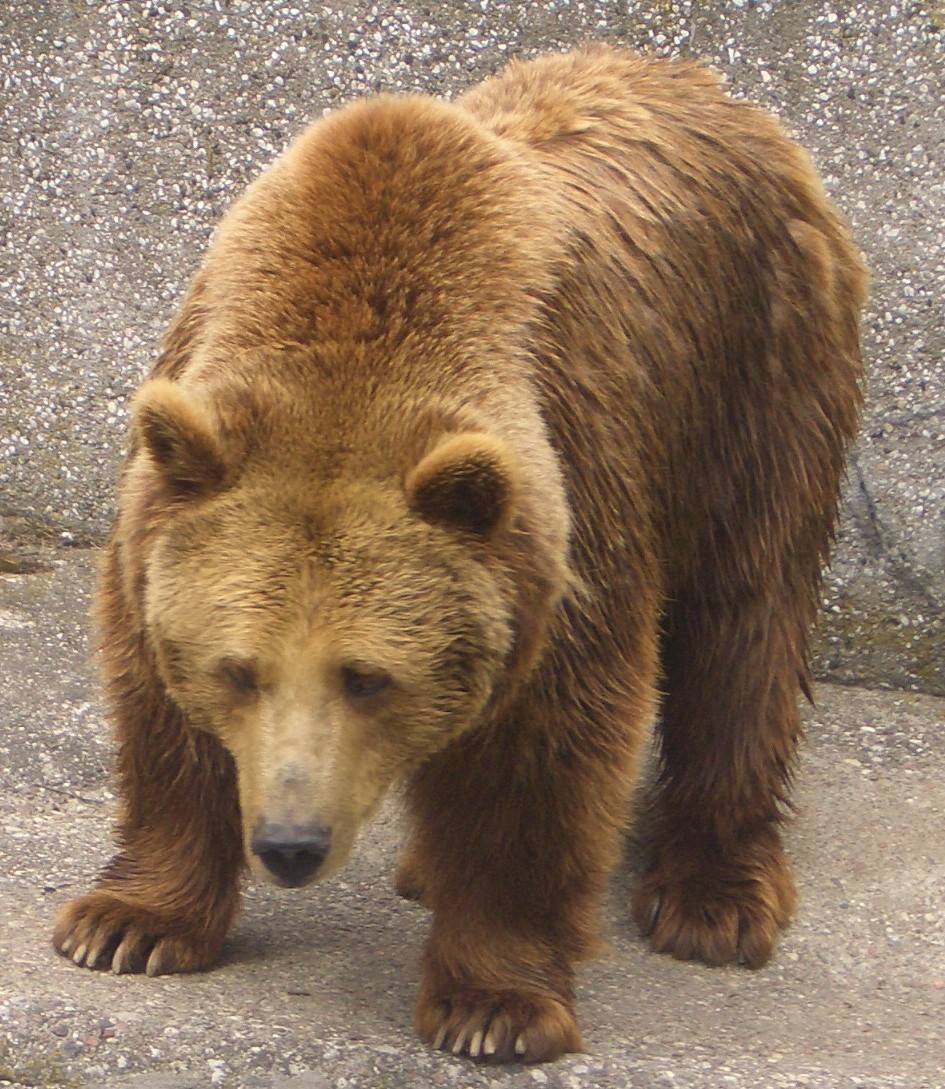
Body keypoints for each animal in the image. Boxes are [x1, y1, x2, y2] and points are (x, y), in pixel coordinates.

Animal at [53, 46, 867, 1064]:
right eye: (238, 669)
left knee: (745, 621)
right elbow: (160, 713)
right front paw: (127, 923)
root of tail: (706, 86)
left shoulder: (562, 514)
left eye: (366, 675)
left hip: (756, 371)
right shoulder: (165, 506)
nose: (289, 843)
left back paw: (714, 893)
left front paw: (494, 1004)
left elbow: (540, 754)